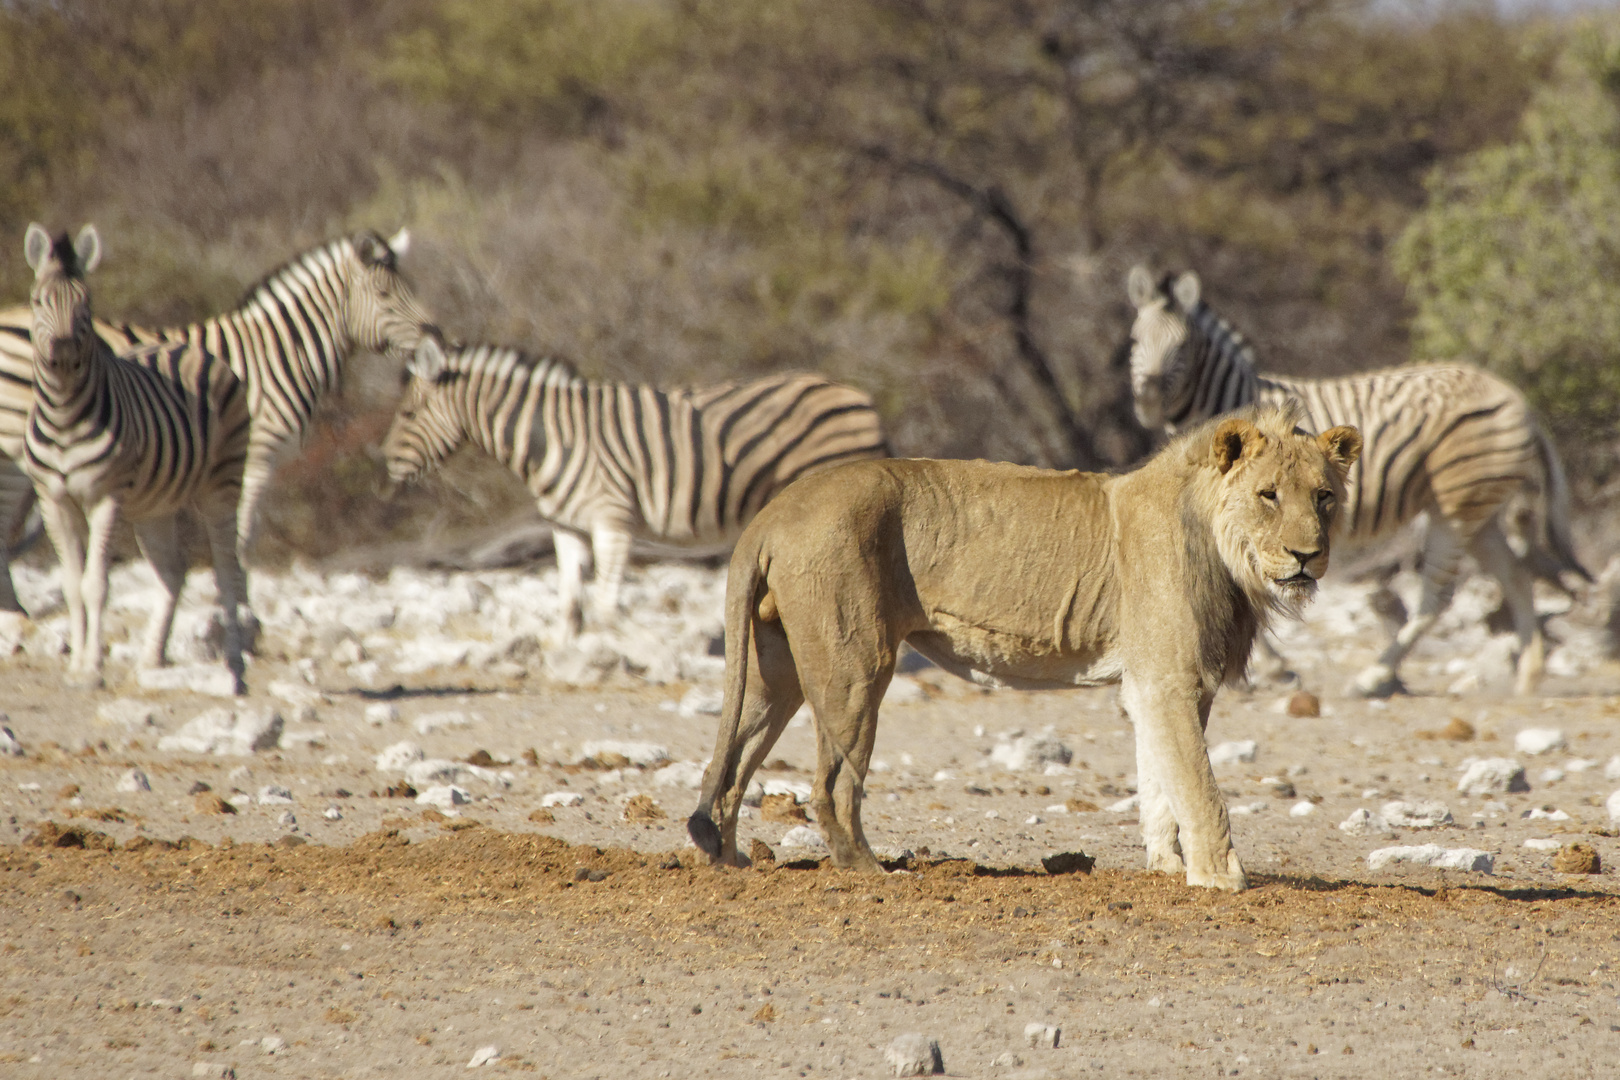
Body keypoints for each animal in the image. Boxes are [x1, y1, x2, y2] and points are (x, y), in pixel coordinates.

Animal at [0, 229, 434, 625]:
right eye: (384, 294)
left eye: (408, 289)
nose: (436, 339)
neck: (277, 358)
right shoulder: (255, 459)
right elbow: (242, 538)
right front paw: (241, 610)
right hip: (15, 449)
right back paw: (14, 613)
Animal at [20, 223, 254, 689]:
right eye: (38, 301)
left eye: (86, 306)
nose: (64, 352)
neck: (64, 417)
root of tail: (186, 346)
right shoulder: (54, 499)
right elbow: (71, 585)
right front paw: (76, 665)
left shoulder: (106, 497)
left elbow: (95, 584)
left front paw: (91, 667)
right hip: (153, 505)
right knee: (173, 572)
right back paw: (151, 660)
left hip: (222, 483)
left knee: (226, 571)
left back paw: (235, 667)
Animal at [382, 333, 887, 628]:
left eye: (407, 414)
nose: (384, 464)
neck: (550, 437)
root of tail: (859, 395)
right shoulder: (566, 526)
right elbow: (569, 603)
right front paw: (569, 657)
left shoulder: (612, 520)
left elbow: (605, 604)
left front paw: (607, 657)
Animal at [690, 401, 1360, 893]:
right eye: (1269, 495)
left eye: (1324, 497)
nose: (1308, 555)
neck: (1225, 550)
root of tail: (775, 510)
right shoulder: (1172, 679)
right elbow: (1199, 786)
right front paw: (1221, 878)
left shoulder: (1155, 685)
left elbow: (1160, 780)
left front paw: (1168, 868)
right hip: (854, 665)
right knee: (833, 787)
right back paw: (873, 871)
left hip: (775, 667)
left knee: (733, 761)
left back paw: (728, 859)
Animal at [1127, 265, 1581, 696]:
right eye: (1133, 342)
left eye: (1182, 347)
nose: (1147, 400)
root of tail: (1519, 401)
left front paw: (1270, 670)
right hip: (1478, 512)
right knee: (1515, 577)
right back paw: (1528, 678)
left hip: (1455, 507)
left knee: (1438, 596)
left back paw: (1374, 678)